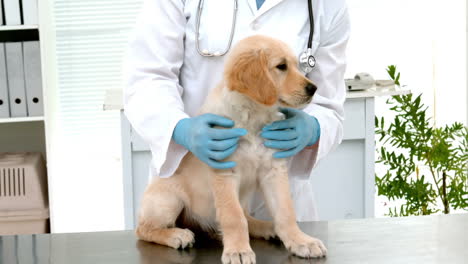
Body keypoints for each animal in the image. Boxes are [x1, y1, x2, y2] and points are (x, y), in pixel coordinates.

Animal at [135, 35, 326, 264]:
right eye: (281, 66)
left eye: (298, 66)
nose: (314, 88)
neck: (253, 116)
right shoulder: (224, 172)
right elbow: (233, 217)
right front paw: (238, 250)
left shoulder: (273, 171)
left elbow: (285, 212)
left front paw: (301, 241)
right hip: (168, 200)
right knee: (143, 229)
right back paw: (176, 235)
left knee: (245, 217)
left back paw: (265, 227)